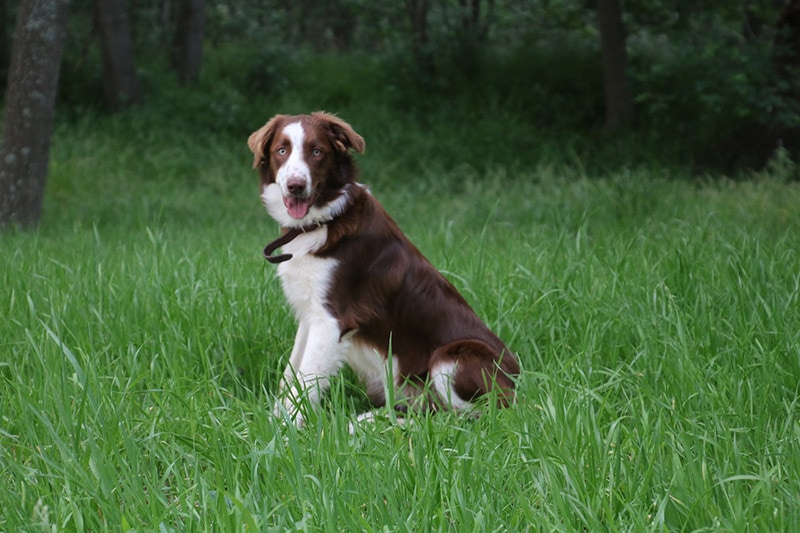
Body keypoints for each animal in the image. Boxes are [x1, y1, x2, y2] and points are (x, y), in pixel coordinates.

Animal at [247, 111, 520, 424]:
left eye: (317, 152)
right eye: (282, 150)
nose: (295, 185)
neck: (325, 219)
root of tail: (520, 383)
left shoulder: (332, 319)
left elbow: (304, 381)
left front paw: (286, 429)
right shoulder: (309, 313)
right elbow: (290, 376)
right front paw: (269, 422)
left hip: (452, 359)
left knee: (464, 417)